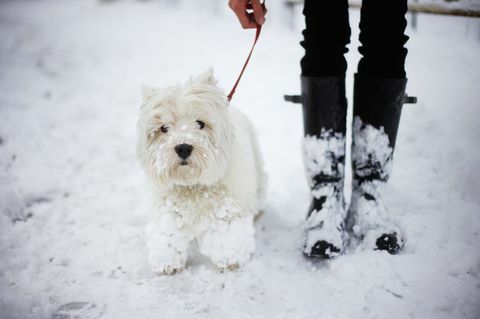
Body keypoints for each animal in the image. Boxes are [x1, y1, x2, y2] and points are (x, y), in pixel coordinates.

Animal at [136, 69, 266, 276]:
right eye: (164, 128)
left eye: (200, 123)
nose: (183, 147)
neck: (193, 185)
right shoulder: (168, 210)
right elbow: (167, 236)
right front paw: (167, 263)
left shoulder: (227, 210)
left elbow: (227, 237)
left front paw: (230, 261)